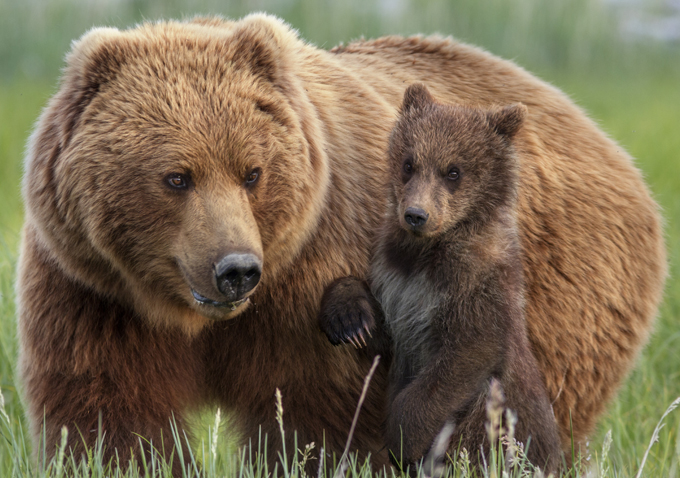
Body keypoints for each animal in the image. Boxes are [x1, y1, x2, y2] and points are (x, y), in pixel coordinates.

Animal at [318, 83, 561, 472]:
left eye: (453, 171)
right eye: (409, 163)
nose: (416, 214)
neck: (426, 255)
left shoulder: (475, 283)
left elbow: (465, 355)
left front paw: (403, 438)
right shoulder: (396, 281)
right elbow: (382, 331)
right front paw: (350, 319)